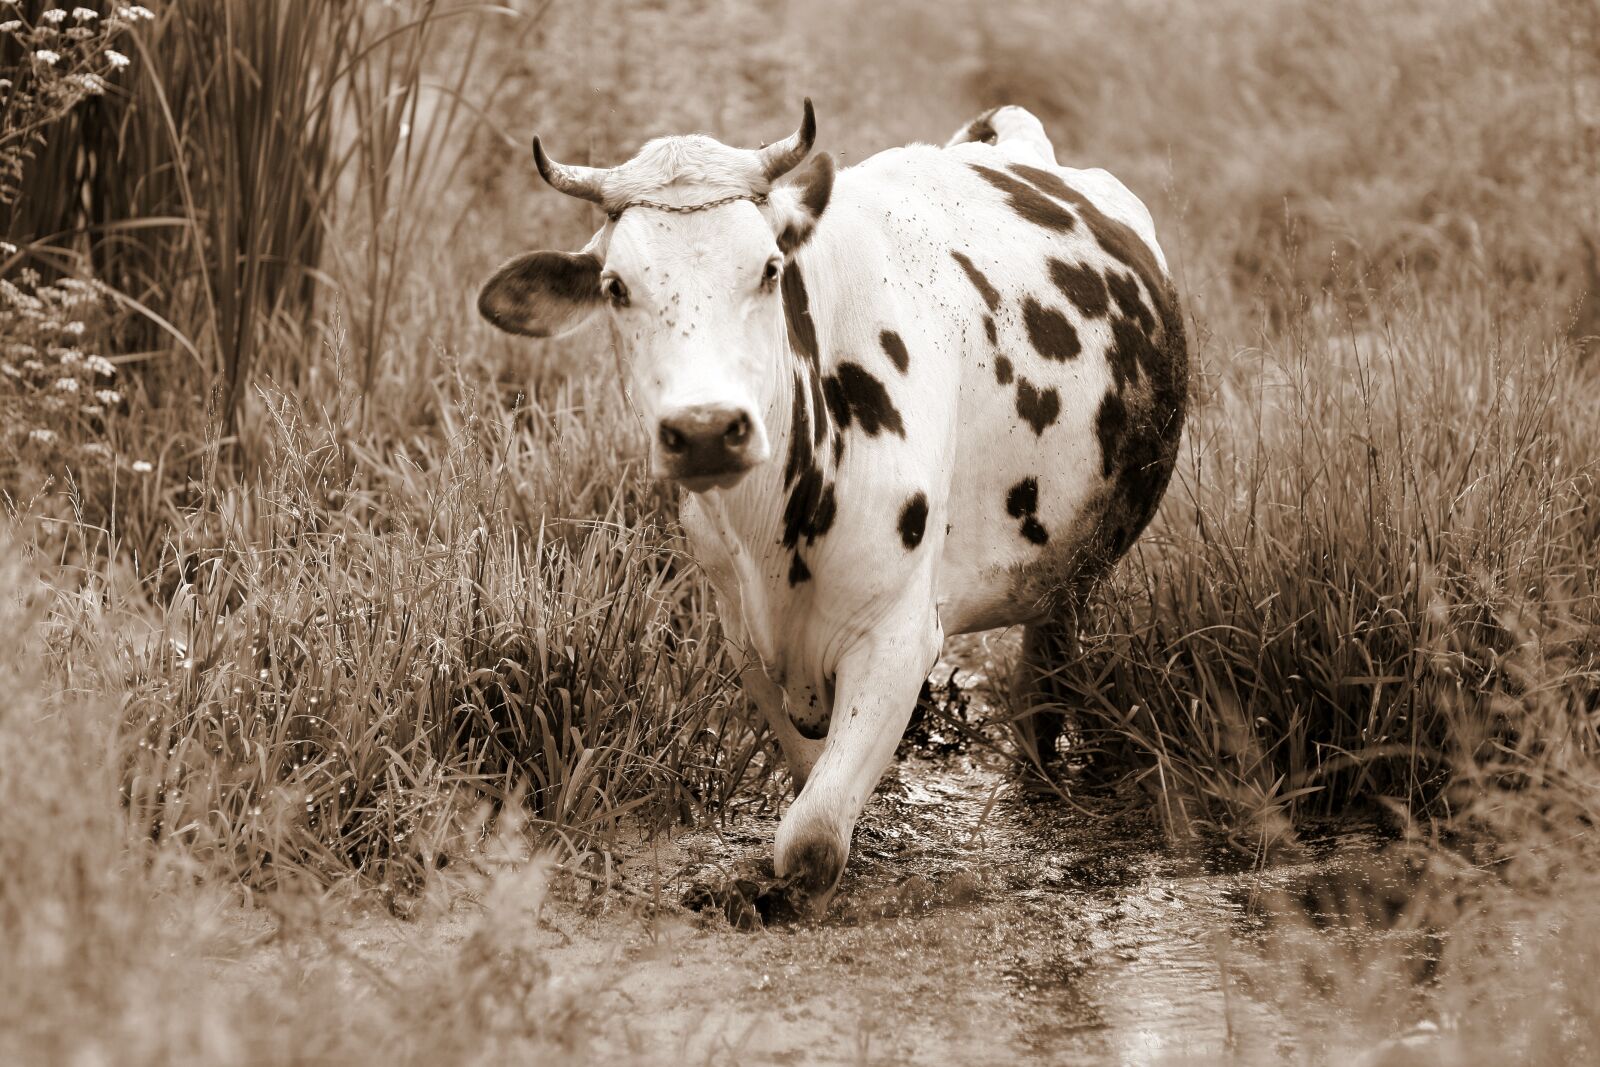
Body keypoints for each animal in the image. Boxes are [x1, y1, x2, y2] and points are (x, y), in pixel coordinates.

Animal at [478, 101, 1188, 910]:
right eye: (615, 286)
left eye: (768, 269)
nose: (706, 430)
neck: (770, 534)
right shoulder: (743, 635)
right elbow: (804, 779)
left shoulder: (898, 637)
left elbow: (811, 840)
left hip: (1075, 568)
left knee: (1044, 676)